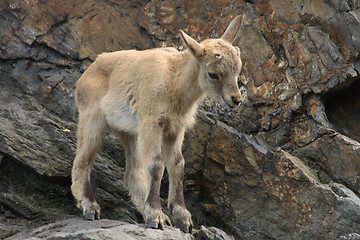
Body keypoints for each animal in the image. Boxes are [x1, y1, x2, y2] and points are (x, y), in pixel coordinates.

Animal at [71, 15, 242, 232]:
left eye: (238, 69)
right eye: (213, 73)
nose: (236, 99)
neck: (174, 81)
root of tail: (85, 75)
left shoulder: (175, 129)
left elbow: (178, 164)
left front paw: (182, 218)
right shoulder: (152, 123)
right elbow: (156, 164)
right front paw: (155, 216)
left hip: (131, 133)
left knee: (132, 172)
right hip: (93, 118)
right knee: (83, 160)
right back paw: (90, 207)